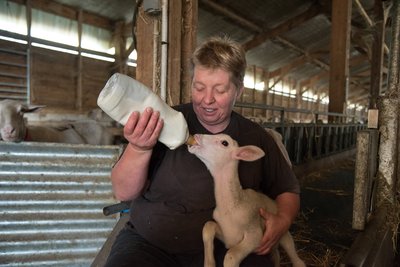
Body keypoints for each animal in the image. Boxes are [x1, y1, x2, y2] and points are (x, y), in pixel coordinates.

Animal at [188, 134, 306, 267]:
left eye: (225, 143)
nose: (196, 136)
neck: (232, 206)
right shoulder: (228, 237)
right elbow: (208, 227)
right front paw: (209, 263)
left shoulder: (256, 236)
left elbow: (231, 256)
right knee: (276, 255)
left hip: (282, 233)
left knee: (295, 256)